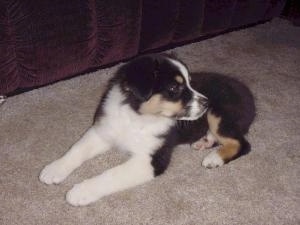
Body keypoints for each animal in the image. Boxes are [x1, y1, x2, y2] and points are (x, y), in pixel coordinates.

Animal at [39, 54, 255, 206]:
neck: (137, 118)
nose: (206, 102)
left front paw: (80, 192)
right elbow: (77, 149)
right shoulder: (104, 131)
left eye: (190, 83)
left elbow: (112, 174)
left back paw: (214, 158)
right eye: (174, 88)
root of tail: (249, 96)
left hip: (218, 114)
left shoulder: (152, 159)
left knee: (242, 144)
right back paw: (204, 142)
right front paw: (53, 169)